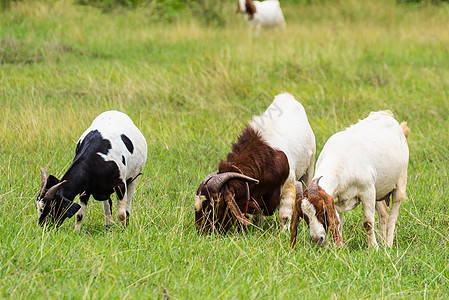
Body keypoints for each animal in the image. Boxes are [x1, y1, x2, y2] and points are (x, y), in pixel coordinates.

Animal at [288, 110, 410, 248]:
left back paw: (388, 245)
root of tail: (386, 115)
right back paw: (383, 242)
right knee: (384, 213)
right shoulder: (336, 199)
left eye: (321, 210)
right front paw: (338, 248)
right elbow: (338, 222)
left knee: (393, 216)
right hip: (380, 189)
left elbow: (368, 222)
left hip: (400, 181)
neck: (340, 164)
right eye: (304, 216)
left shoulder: (368, 191)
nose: (317, 239)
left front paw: (373, 248)